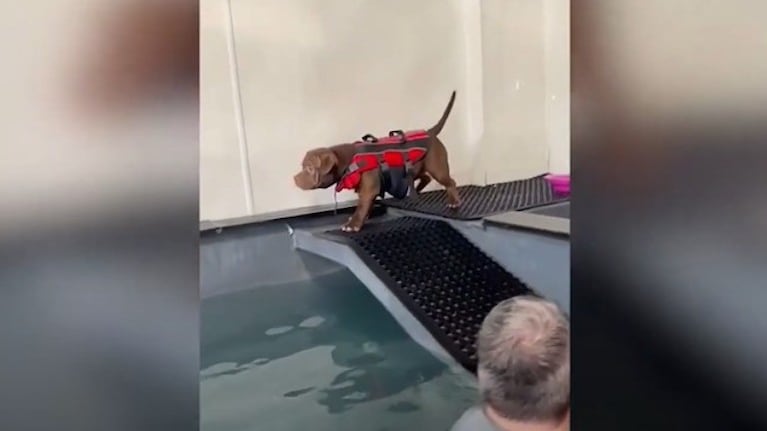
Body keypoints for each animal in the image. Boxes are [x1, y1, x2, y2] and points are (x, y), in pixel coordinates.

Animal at [294, 91, 462, 233]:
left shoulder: (368, 189)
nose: (294, 179)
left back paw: (454, 201)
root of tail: (430, 132)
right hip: (416, 167)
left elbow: (361, 206)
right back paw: (417, 191)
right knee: (425, 177)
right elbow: (367, 206)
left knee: (450, 182)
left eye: (309, 168)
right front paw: (362, 218)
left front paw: (353, 224)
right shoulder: (369, 189)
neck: (347, 159)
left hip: (438, 168)